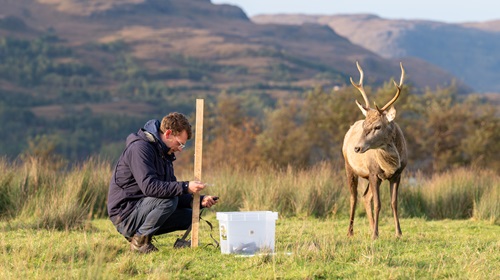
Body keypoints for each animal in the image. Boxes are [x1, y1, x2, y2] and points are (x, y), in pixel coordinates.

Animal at [342, 62, 408, 240]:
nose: (357, 147)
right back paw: (350, 232)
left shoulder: (398, 174)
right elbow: (378, 204)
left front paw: (399, 233)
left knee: (365, 197)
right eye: (365, 125)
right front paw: (375, 235)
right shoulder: (373, 173)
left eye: (378, 126)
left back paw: (371, 227)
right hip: (349, 167)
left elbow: (394, 203)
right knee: (353, 197)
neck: (389, 165)